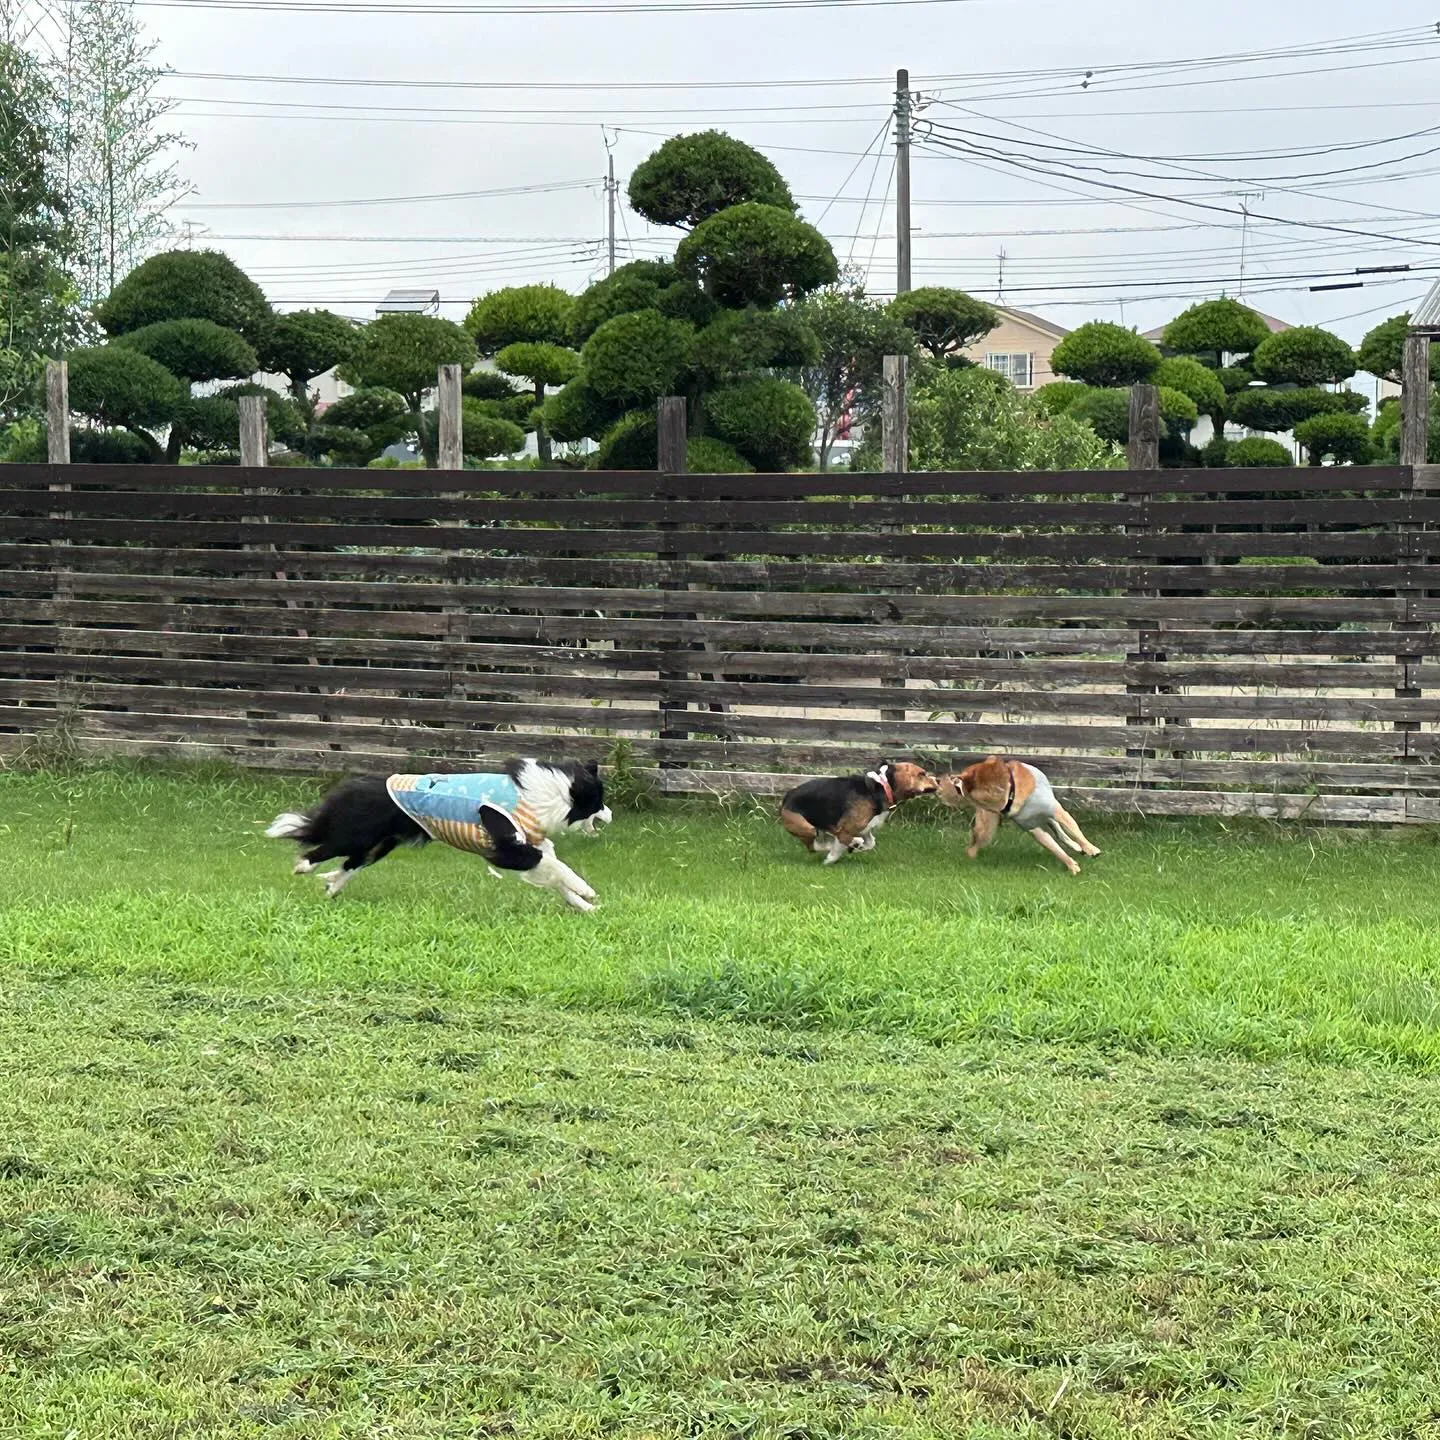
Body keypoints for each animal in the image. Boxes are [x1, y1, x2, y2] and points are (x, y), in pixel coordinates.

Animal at [264, 760, 607, 904]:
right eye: (600, 801)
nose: (611, 814)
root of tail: (350, 788)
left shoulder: (531, 846)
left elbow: (555, 872)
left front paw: (584, 905)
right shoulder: (507, 848)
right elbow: (556, 867)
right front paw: (587, 891)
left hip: (380, 845)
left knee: (351, 864)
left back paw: (332, 888)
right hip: (357, 836)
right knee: (321, 850)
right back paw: (304, 867)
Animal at [933, 760, 1100, 869]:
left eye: (957, 781)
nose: (941, 779)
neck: (1010, 796)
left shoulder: (1055, 811)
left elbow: (1075, 832)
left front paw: (1090, 849)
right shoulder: (1033, 829)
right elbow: (1054, 848)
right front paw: (1072, 865)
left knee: (1060, 830)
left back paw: (1078, 846)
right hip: (987, 827)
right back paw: (971, 856)